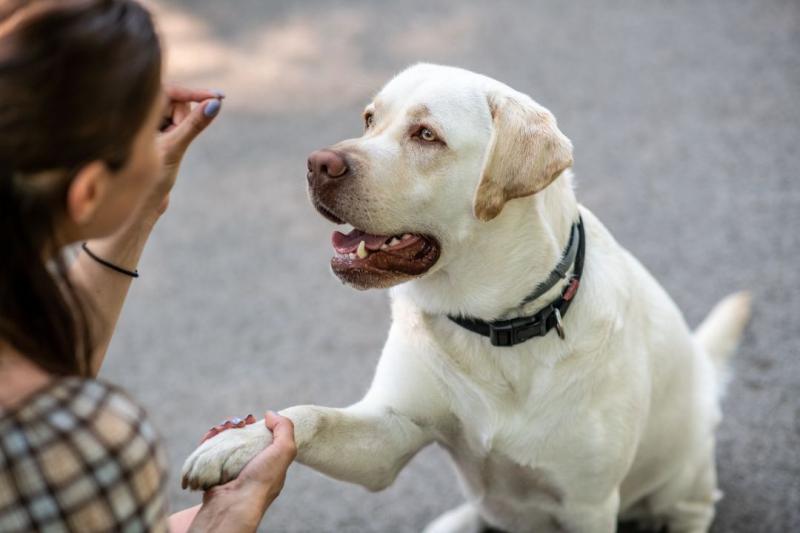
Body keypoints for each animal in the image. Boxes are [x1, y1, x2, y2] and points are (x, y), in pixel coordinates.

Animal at [181, 63, 752, 532]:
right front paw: (237, 443)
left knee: (693, 507)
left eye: (426, 135)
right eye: (369, 119)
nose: (318, 164)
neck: (495, 325)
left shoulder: (588, 505)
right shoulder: (389, 435)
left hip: (685, 478)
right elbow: (308, 416)